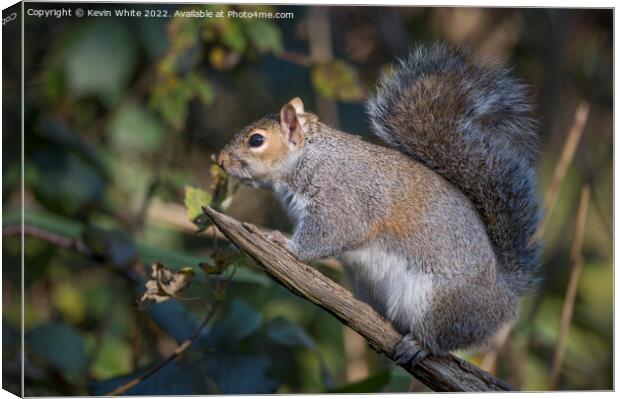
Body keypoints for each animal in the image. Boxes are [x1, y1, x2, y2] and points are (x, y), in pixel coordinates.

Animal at [218, 44, 544, 368]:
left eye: (256, 140)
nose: (220, 160)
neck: (309, 157)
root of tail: (505, 294)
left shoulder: (343, 199)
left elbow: (332, 234)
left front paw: (285, 243)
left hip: (440, 303)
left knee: (441, 338)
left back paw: (418, 345)